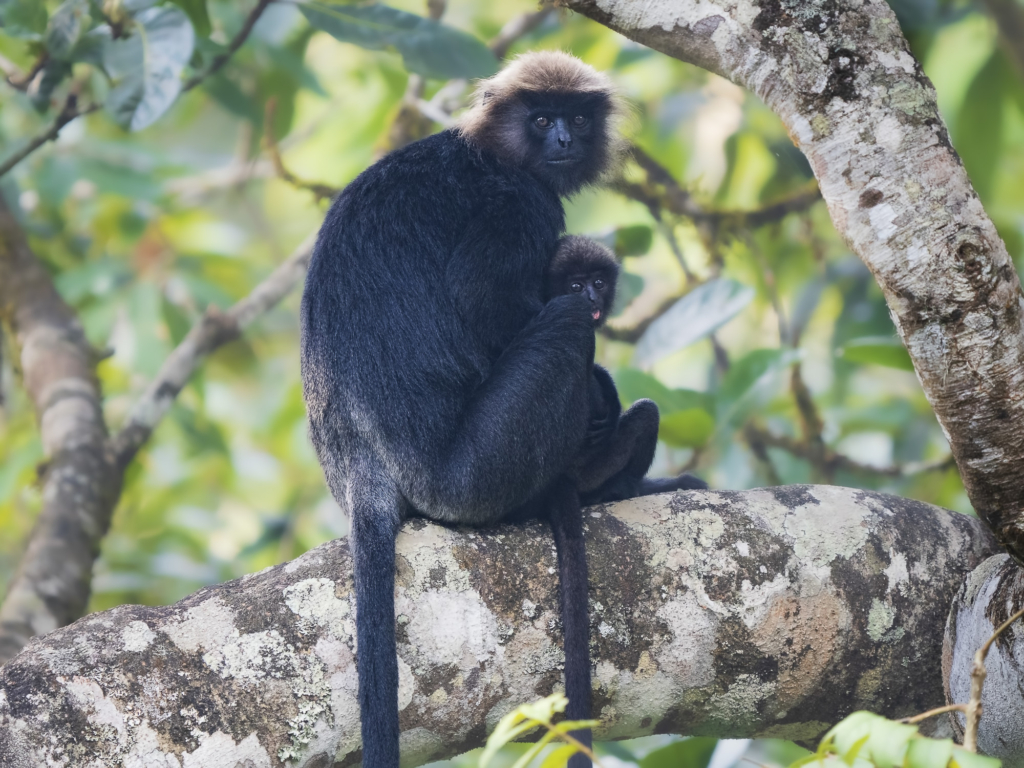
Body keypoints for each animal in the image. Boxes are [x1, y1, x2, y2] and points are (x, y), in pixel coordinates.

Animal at [299, 51, 626, 765]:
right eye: (542, 119)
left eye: (577, 117)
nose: (565, 139)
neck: (490, 152)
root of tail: (364, 474)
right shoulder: (519, 207)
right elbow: (489, 306)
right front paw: (603, 393)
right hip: (475, 475)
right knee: (565, 323)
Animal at [548, 234, 708, 501]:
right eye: (576, 287)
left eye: (599, 283)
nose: (592, 298)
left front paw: (611, 395)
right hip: (590, 473)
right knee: (647, 412)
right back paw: (617, 488)